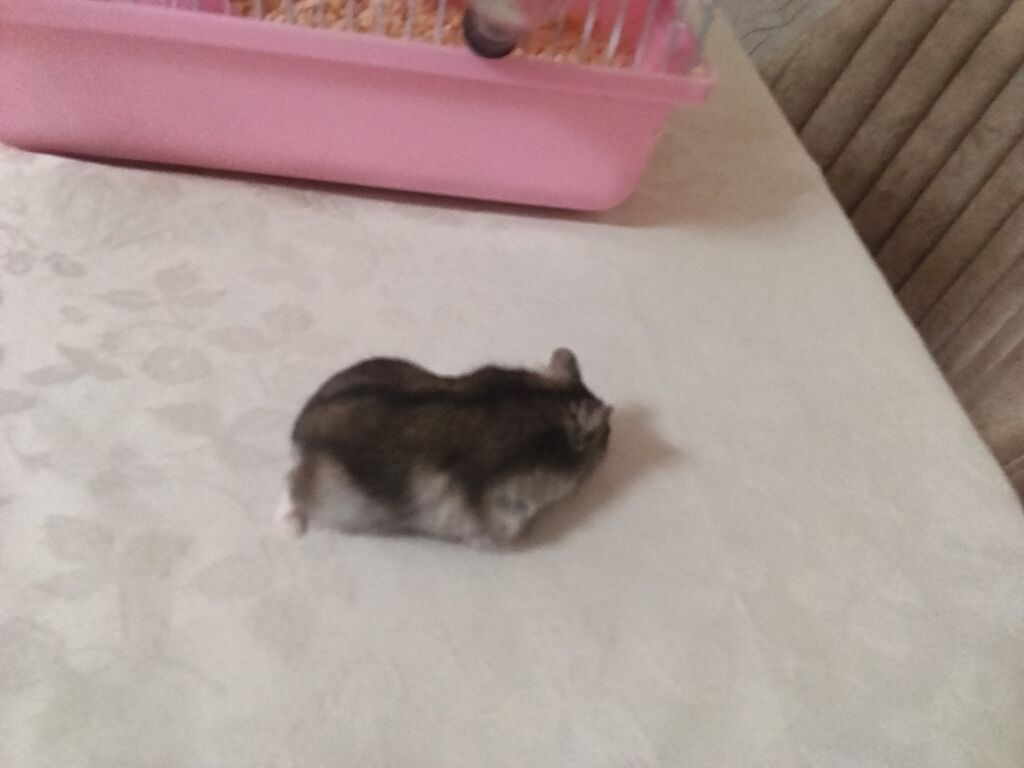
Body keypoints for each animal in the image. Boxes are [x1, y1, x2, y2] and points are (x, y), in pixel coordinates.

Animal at [276, 348, 611, 547]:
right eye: (604, 436)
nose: (611, 433)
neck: (545, 407)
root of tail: (300, 430)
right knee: (291, 488)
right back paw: (290, 528)